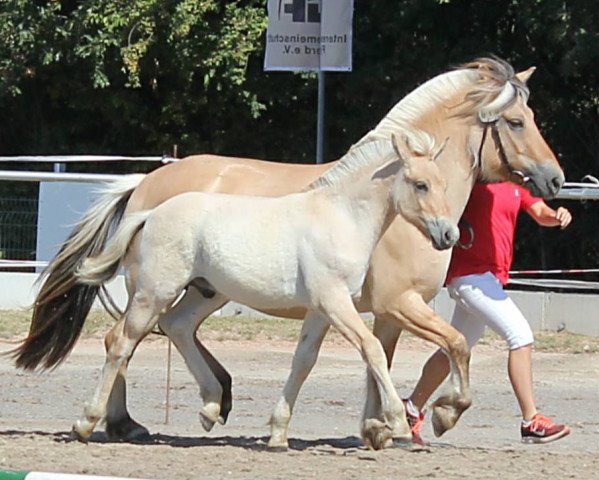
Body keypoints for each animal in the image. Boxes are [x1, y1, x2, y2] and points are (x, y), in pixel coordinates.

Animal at [16, 57, 564, 450]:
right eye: (516, 121)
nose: (554, 180)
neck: (352, 212)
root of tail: (146, 188)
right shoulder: (394, 303)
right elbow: (443, 347)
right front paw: (427, 417)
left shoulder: (359, 308)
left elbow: (345, 359)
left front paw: (369, 429)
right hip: (154, 288)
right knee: (122, 339)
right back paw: (108, 422)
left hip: (206, 290)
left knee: (173, 328)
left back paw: (211, 402)